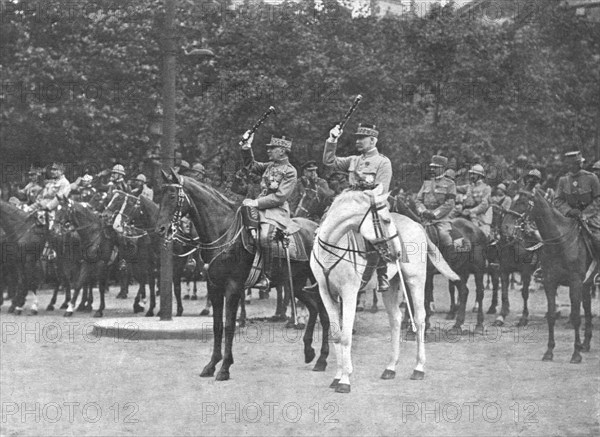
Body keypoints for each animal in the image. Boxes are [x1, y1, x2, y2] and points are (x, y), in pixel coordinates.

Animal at [157, 172, 330, 380]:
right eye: (160, 195)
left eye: (172, 196)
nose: (161, 229)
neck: (224, 233)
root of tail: (317, 227)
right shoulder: (214, 287)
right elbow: (217, 325)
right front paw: (211, 365)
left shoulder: (233, 287)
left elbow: (229, 325)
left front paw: (224, 368)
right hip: (295, 284)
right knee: (313, 308)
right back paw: (309, 352)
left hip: (315, 282)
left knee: (324, 312)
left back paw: (322, 359)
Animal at [314, 184, 460, 392]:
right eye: (385, 220)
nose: (397, 253)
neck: (332, 247)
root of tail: (418, 225)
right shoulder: (326, 293)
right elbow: (336, 335)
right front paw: (337, 377)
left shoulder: (349, 293)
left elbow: (346, 336)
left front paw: (345, 380)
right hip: (391, 286)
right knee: (396, 319)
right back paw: (390, 367)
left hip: (416, 280)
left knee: (420, 319)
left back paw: (418, 368)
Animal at [504, 188, 592, 362]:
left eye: (521, 202)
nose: (506, 228)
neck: (560, 243)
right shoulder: (549, 282)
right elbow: (551, 315)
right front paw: (549, 351)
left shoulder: (575, 283)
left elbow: (576, 317)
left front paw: (576, 354)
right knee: (587, 308)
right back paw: (585, 344)